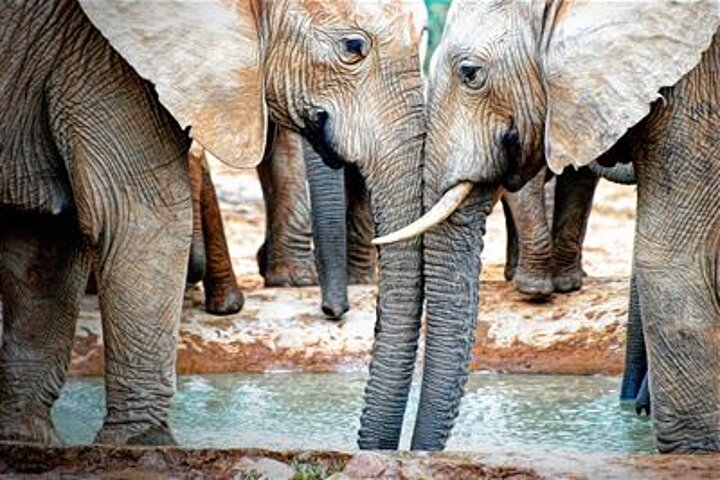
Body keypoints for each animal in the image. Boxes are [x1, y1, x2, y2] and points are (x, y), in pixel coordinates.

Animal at [1, 0, 428, 446]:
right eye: (353, 47)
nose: (334, 311)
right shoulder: (101, 60)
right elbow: (144, 219)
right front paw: (145, 447)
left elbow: (48, 237)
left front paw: (32, 443)